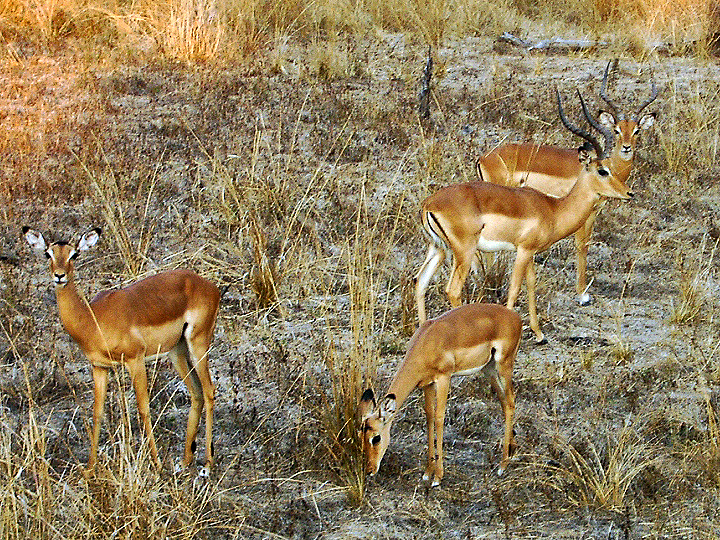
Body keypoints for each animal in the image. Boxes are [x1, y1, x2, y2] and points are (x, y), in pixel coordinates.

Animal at [23, 226, 220, 472]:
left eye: (74, 254)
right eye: (47, 254)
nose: (59, 276)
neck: (92, 318)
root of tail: (210, 286)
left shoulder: (135, 360)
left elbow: (143, 408)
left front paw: (156, 464)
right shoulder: (99, 367)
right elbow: (97, 412)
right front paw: (90, 469)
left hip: (198, 344)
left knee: (209, 390)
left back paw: (208, 463)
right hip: (177, 352)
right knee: (196, 393)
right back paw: (185, 460)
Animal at [359, 303, 521, 487]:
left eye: (376, 438)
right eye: (361, 436)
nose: (370, 470)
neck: (425, 343)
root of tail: (516, 317)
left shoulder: (444, 378)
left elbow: (439, 418)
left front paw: (437, 477)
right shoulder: (427, 384)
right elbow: (429, 417)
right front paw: (427, 472)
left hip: (504, 366)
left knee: (510, 402)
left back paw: (503, 465)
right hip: (489, 369)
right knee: (504, 402)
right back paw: (512, 451)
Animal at [415, 88, 633, 344]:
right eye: (602, 170)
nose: (629, 193)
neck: (553, 209)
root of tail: (429, 204)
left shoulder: (531, 253)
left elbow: (530, 285)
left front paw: (539, 334)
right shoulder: (523, 251)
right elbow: (514, 290)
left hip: (438, 248)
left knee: (420, 282)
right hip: (464, 252)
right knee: (453, 290)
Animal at [476, 61, 658, 305]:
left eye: (637, 130)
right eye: (617, 130)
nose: (627, 148)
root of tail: (484, 157)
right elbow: (582, 245)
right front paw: (582, 294)